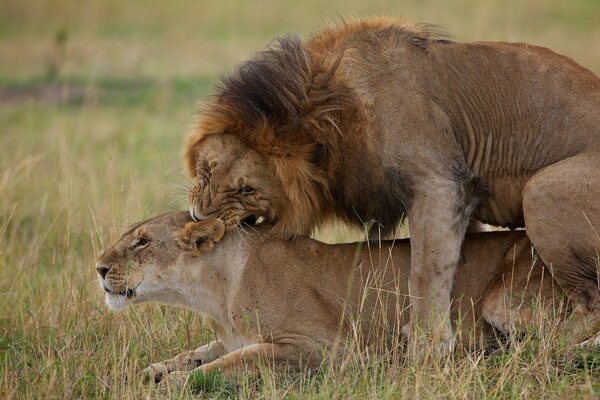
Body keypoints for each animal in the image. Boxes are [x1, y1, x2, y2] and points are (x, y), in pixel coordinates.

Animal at [95, 211, 600, 386]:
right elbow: (199, 352)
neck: (214, 292)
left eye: (142, 242)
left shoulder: (319, 347)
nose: (98, 268)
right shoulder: (231, 336)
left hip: (507, 300)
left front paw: (174, 385)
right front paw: (155, 369)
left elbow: (224, 366)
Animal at [183, 16, 600, 346]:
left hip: (542, 191)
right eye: (205, 171)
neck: (335, 111)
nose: (199, 218)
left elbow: (425, 271)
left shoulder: (441, 183)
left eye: (247, 190)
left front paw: (428, 346)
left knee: (589, 302)